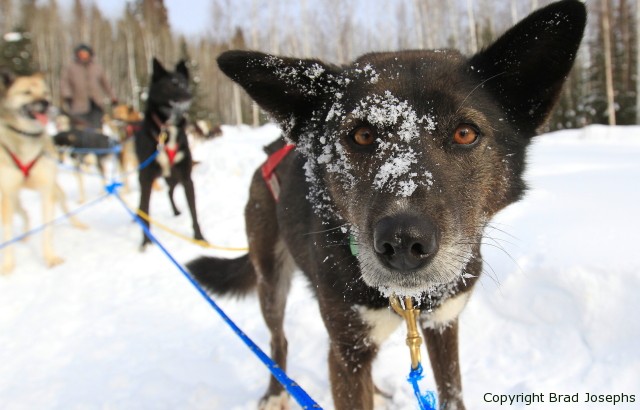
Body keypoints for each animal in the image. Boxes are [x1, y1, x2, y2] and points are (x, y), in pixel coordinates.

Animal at [0, 71, 84, 274]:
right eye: (27, 92)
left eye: (45, 92)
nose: (46, 103)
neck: (26, 140)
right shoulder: (7, 194)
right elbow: (7, 233)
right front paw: (7, 265)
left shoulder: (47, 190)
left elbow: (47, 229)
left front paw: (50, 258)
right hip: (12, 200)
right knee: (24, 213)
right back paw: (24, 235)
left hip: (56, 191)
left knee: (66, 208)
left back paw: (79, 224)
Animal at [185, 1, 584, 408]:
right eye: (362, 135)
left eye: (465, 133)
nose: (404, 242)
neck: (409, 302)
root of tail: (270, 153)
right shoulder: (347, 351)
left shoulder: (443, 323)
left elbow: (451, 390)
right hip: (271, 280)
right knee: (277, 339)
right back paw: (276, 393)